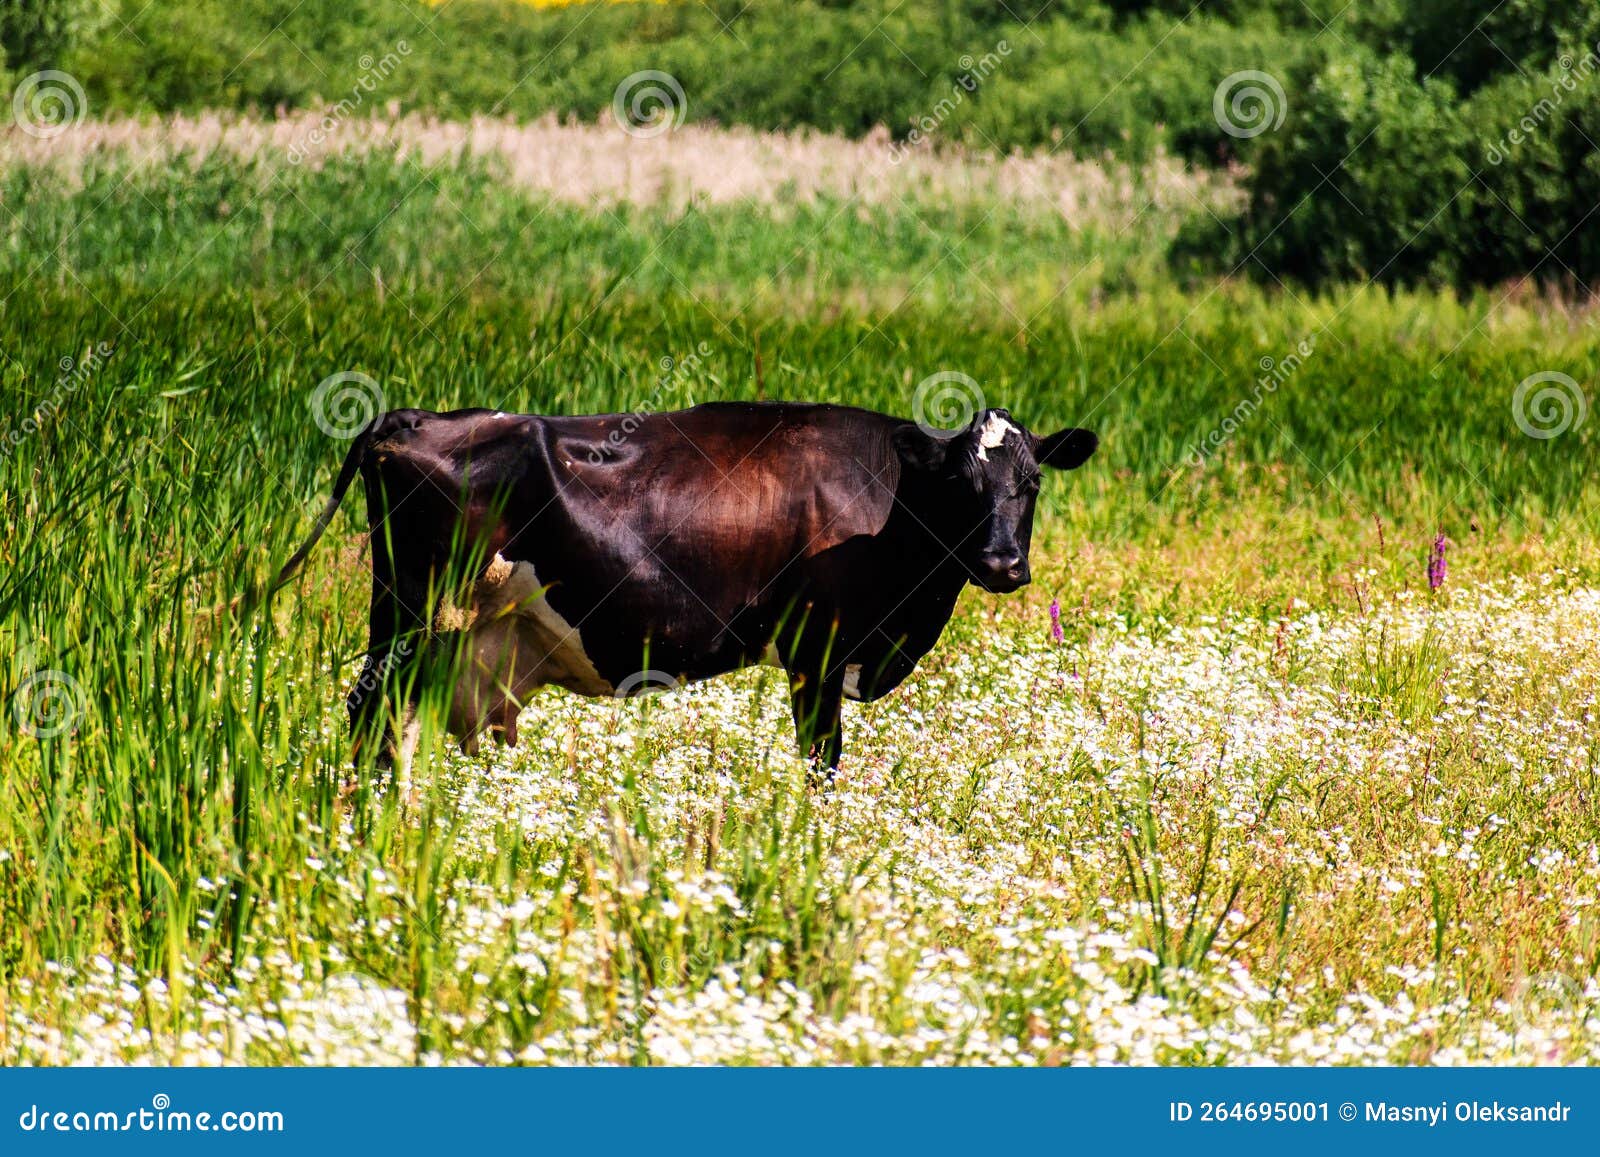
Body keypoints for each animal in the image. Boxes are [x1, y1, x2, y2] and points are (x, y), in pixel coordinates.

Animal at [274, 401, 1097, 779]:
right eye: (961, 484)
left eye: (1030, 482)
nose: (1002, 563)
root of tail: (410, 418)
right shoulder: (818, 651)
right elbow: (821, 762)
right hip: (412, 615)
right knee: (371, 716)